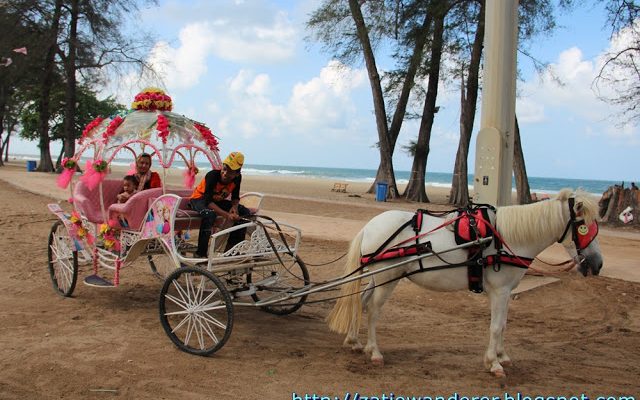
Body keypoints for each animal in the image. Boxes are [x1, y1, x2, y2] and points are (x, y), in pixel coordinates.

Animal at [328, 190, 604, 378]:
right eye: (583, 226)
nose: (597, 264)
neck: (504, 237)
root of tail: (369, 227)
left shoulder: (506, 293)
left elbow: (504, 325)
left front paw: (503, 356)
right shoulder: (500, 291)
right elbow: (496, 327)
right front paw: (494, 363)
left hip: (377, 276)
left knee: (360, 302)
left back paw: (354, 341)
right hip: (387, 279)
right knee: (374, 310)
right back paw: (374, 351)